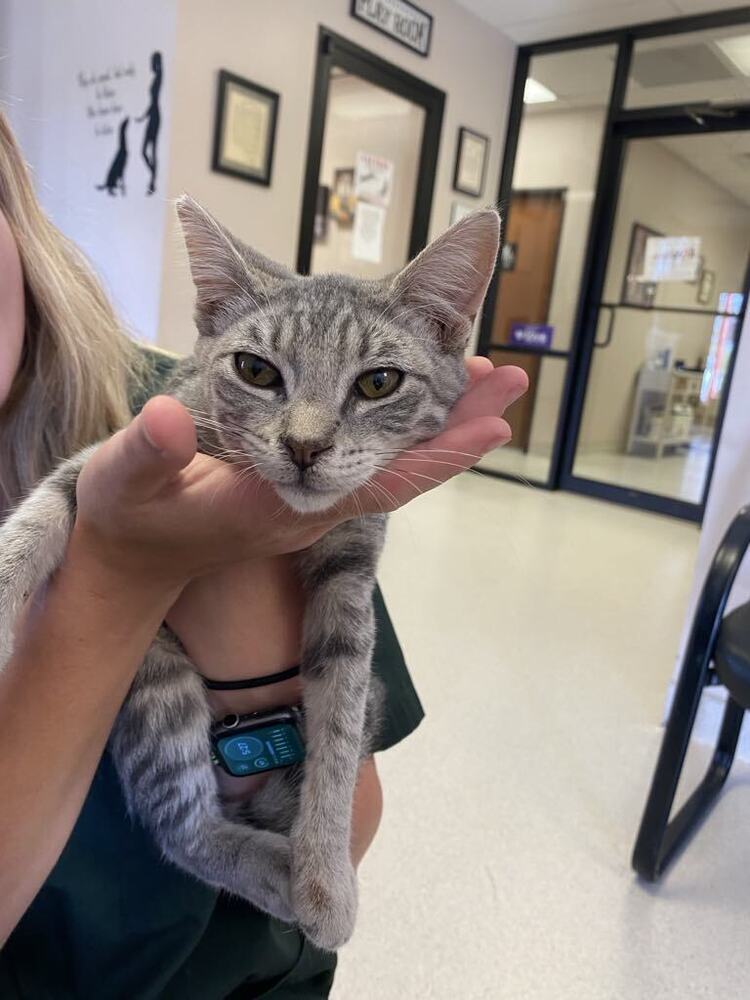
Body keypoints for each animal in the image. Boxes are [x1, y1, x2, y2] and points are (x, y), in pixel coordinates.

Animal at [0, 197, 502, 952]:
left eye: (379, 382)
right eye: (256, 371)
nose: (305, 446)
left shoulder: (351, 576)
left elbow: (338, 726)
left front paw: (325, 871)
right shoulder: (102, 462)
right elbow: (40, 511)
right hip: (159, 679)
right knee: (180, 827)